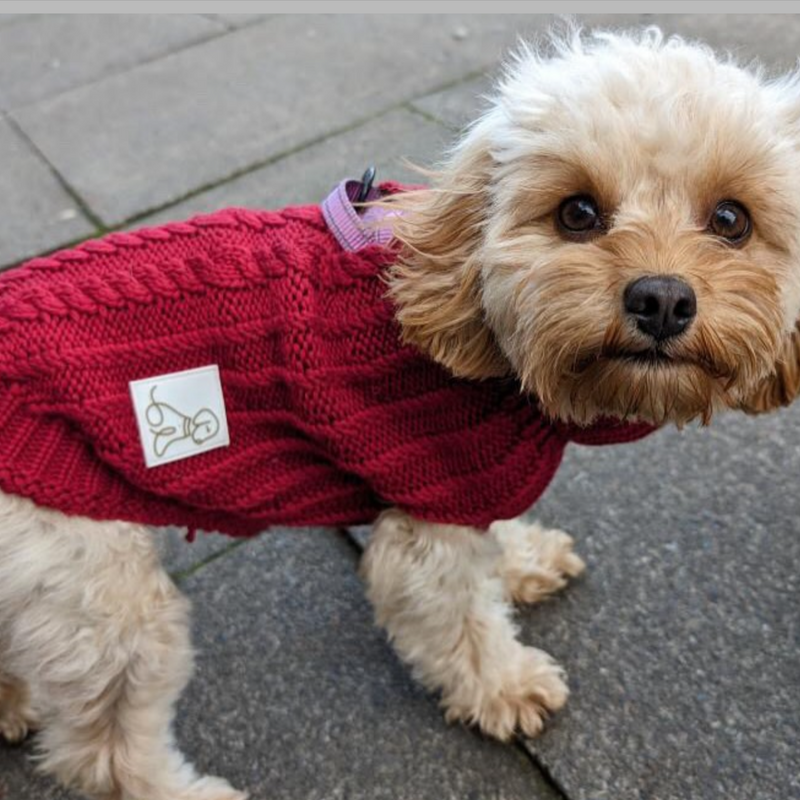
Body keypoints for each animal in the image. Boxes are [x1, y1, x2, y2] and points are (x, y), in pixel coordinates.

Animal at [1, 25, 800, 800]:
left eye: (731, 219)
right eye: (576, 212)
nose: (661, 298)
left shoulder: (467, 482)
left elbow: (494, 537)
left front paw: (519, 560)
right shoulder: (428, 523)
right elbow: (459, 623)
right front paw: (504, 684)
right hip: (99, 593)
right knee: (103, 756)